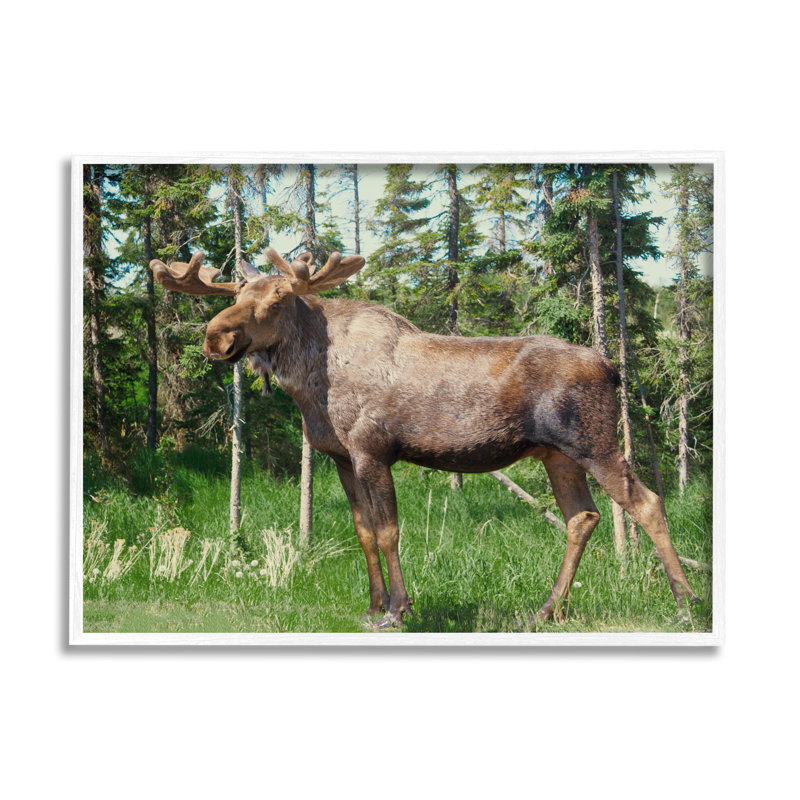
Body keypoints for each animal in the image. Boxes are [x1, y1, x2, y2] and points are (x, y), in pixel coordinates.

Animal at [150, 246, 699, 630]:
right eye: (235, 296)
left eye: (279, 298)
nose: (216, 337)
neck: (311, 389)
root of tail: (613, 369)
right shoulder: (340, 458)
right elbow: (362, 531)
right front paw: (372, 606)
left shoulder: (372, 451)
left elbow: (389, 531)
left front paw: (398, 610)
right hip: (556, 455)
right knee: (582, 517)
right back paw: (547, 610)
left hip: (594, 443)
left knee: (648, 502)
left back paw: (686, 603)